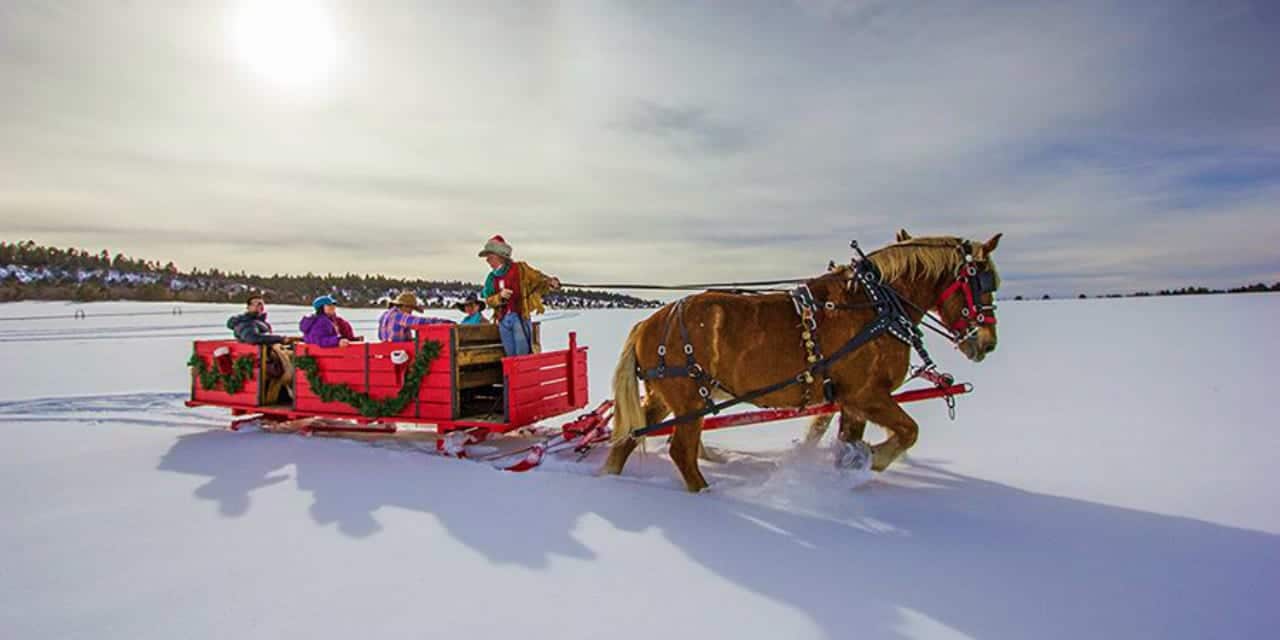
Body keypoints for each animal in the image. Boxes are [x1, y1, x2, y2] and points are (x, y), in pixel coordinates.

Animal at [599, 232, 998, 491]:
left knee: (629, 437)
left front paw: (848, 468)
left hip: (666, 397)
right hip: (689, 400)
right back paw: (707, 495)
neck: (877, 304)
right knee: (680, 451)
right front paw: (872, 459)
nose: (988, 343)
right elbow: (908, 432)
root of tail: (645, 323)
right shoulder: (867, 394)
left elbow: (845, 439)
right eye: (983, 282)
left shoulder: (849, 401)